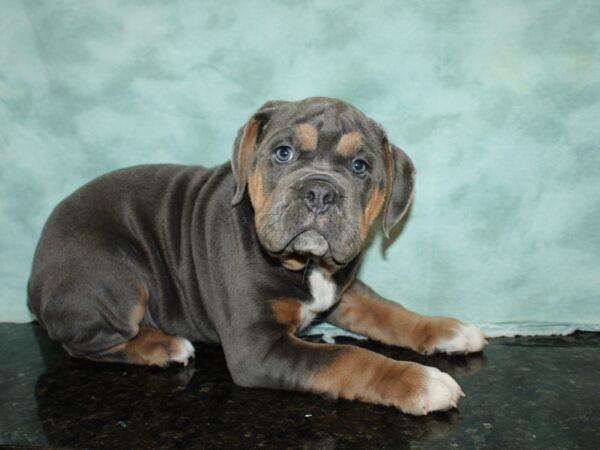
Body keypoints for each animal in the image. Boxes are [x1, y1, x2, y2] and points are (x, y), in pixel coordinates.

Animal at [29, 96, 488, 414]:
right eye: (284, 153)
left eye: (360, 166)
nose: (319, 191)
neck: (308, 266)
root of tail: (34, 280)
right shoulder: (259, 348)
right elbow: (350, 356)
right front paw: (420, 383)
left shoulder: (344, 291)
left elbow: (391, 312)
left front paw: (447, 329)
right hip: (116, 275)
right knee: (86, 343)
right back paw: (163, 345)